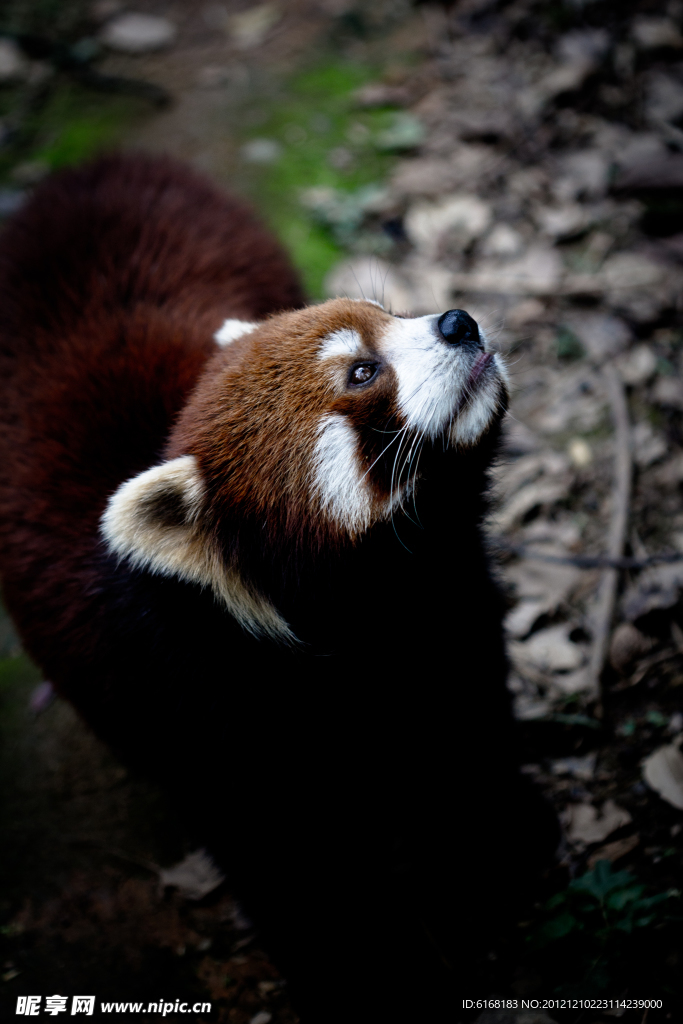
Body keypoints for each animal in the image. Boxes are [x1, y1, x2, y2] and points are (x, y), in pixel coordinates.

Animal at [0, 153, 557, 1024]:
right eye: (362, 370)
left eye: (389, 314)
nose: (457, 320)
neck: (375, 608)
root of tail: (87, 171)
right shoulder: (204, 715)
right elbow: (298, 876)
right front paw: (374, 982)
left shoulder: (450, 612)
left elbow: (463, 727)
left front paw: (499, 845)